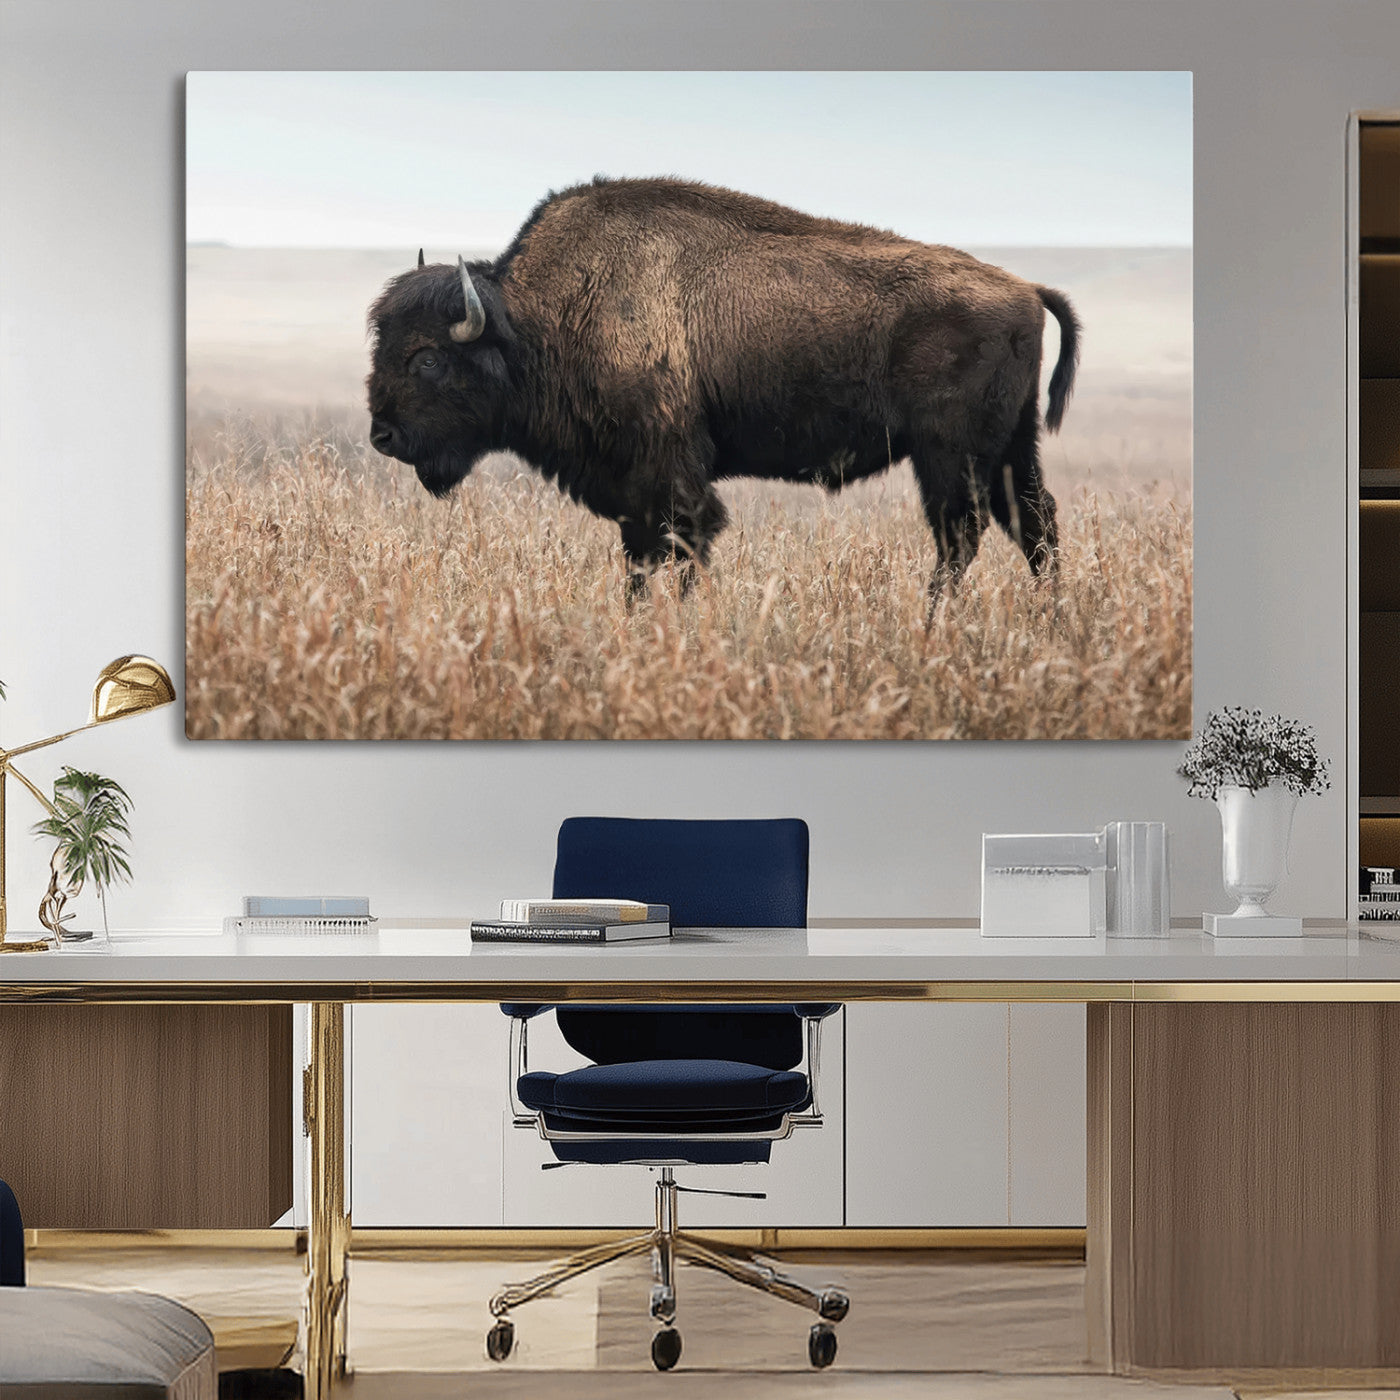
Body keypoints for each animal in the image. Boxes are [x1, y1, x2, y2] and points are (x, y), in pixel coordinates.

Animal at [367, 177, 1079, 594]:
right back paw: (1048, 622)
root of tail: (1025, 289)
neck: (539, 319)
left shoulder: (670, 476)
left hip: (950, 456)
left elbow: (681, 547)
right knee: (1034, 525)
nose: (382, 436)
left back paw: (935, 623)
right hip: (1010, 450)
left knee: (962, 535)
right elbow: (641, 558)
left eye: (427, 359)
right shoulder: (634, 491)